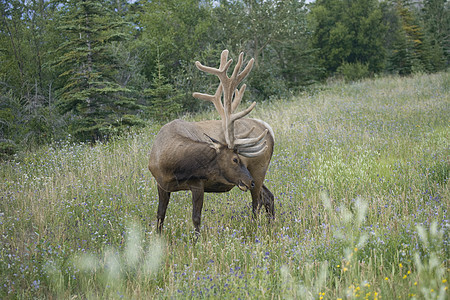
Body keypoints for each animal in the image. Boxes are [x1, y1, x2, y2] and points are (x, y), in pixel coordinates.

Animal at [149, 49, 274, 234]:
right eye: (235, 159)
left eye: (239, 158)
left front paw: (196, 240)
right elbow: (160, 216)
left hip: (259, 170)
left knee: (256, 202)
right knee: (268, 197)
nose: (248, 181)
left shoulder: (197, 184)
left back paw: (254, 229)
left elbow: (196, 219)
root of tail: (267, 129)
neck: (171, 165)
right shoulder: (161, 184)